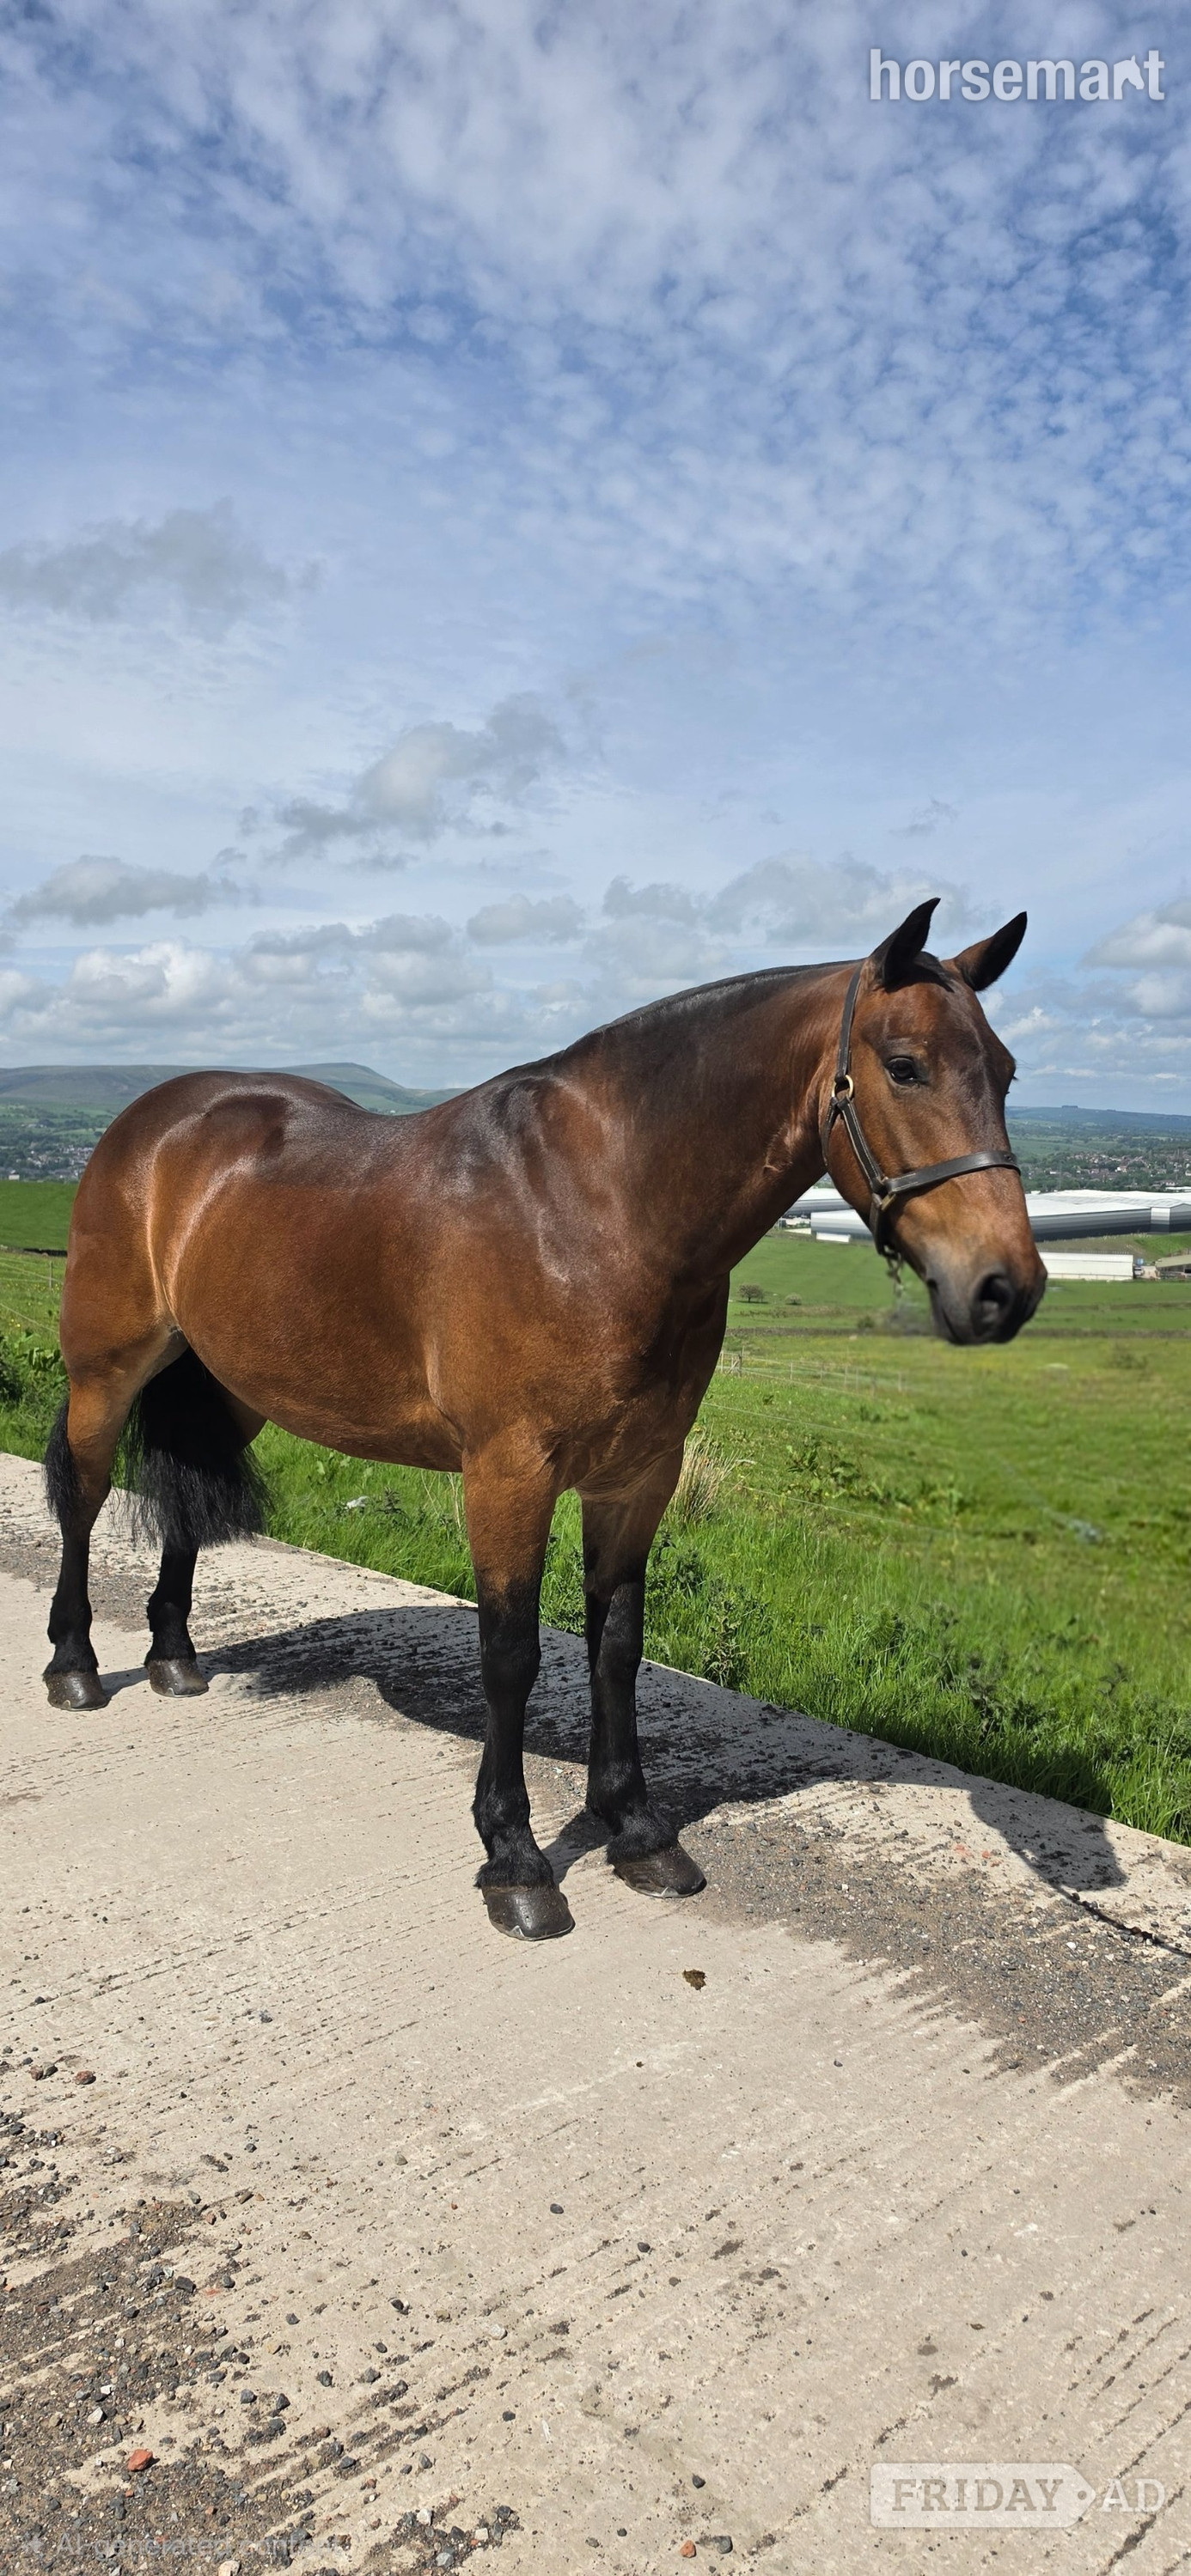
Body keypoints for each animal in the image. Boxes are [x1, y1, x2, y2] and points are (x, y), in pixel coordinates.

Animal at [42, 896, 1044, 1939]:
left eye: (1006, 1069)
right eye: (905, 1065)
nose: (1004, 1287)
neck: (599, 1204)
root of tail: (153, 1121)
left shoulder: (638, 1473)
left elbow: (617, 1645)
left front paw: (636, 1829)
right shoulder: (509, 1472)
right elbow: (512, 1653)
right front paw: (515, 1856)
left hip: (233, 1384)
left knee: (185, 1505)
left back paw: (174, 1655)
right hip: (107, 1370)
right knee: (83, 1495)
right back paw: (76, 1664)